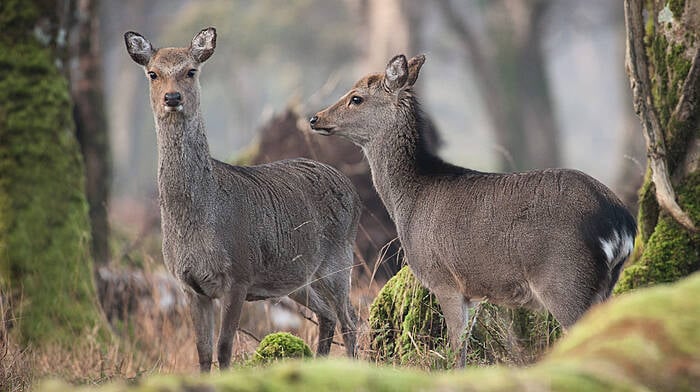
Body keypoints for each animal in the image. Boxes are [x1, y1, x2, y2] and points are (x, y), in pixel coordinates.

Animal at [123, 26, 360, 370]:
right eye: (153, 73)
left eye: (191, 71)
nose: (172, 97)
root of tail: (353, 190)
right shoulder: (189, 285)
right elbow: (203, 352)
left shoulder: (238, 275)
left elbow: (224, 348)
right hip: (296, 275)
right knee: (327, 315)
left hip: (339, 259)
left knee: (350, 318)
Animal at [308, 53, 636, 366]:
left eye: (356, 98)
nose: (315, 118)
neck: (409, 201)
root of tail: (621, 223)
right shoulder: (475, 289)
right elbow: (465, 343)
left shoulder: (443, 278)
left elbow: (456, 349)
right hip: (606, 284)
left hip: (565, 280)